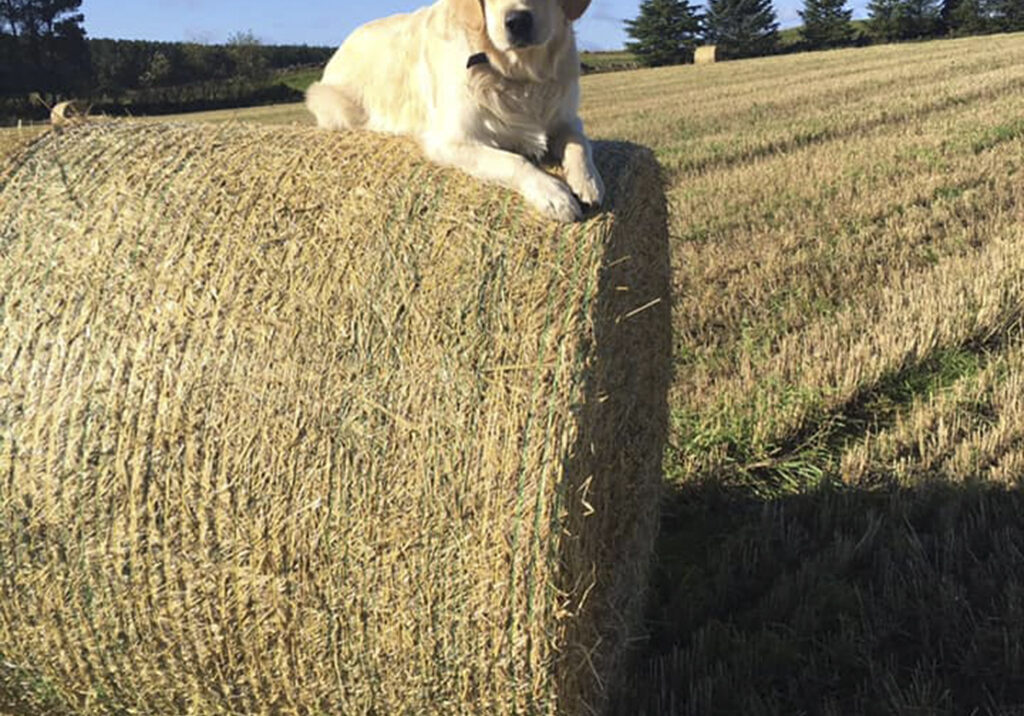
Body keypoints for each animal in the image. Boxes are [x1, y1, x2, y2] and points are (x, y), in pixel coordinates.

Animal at [307, 0, 602, 222]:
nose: (517, 21)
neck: (521, 77)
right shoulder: (451, 140)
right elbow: (514, 161)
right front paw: (554, 194)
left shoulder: (567, 118)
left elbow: (579, 143)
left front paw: (588, 181)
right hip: (334, 104)